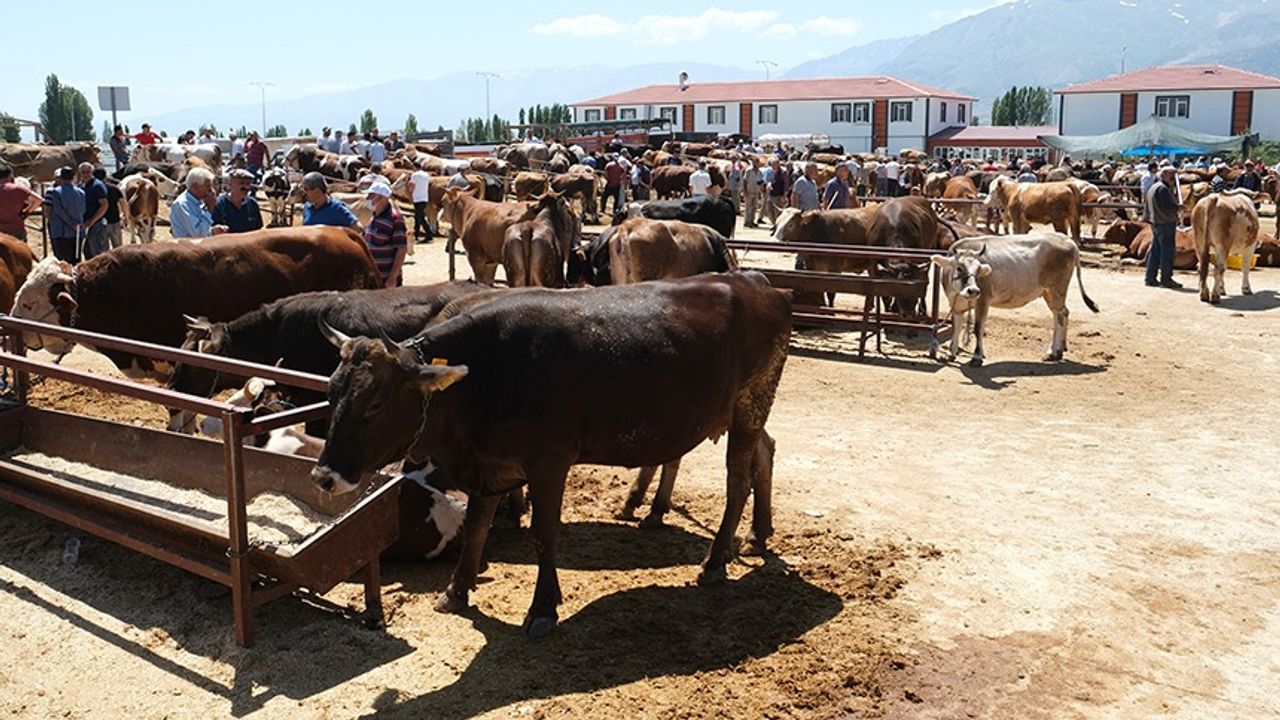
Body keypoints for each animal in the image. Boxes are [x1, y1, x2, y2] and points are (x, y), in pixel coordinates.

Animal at [309, 271, 788, 635]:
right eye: (331, 392)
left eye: (375, 404)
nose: (324, 476)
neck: (488, 372)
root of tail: (755, 282)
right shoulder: (490, 464)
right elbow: (478, 527)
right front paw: (456, 591)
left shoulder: (548, 463)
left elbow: (544, 533)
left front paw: (542, 608)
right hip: (743, 410)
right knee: (765, 452)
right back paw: (758, 533)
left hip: (750, 403)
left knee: (737, 481)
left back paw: (715, 561)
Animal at [931, 229, 1100, 363]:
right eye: (959, 268)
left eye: (978, 269)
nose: (973, 290)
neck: (958, 293)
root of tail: (1066, 239)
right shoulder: (955, 304)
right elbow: (956, 327)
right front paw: (951, 354)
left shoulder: (983, 300)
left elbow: (978, 328)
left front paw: (977, 357)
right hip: (1048, 292)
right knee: (1062, 313)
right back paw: (1059, 350)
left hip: (1057, 289)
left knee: (1059, 316)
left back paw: (1053, 352)